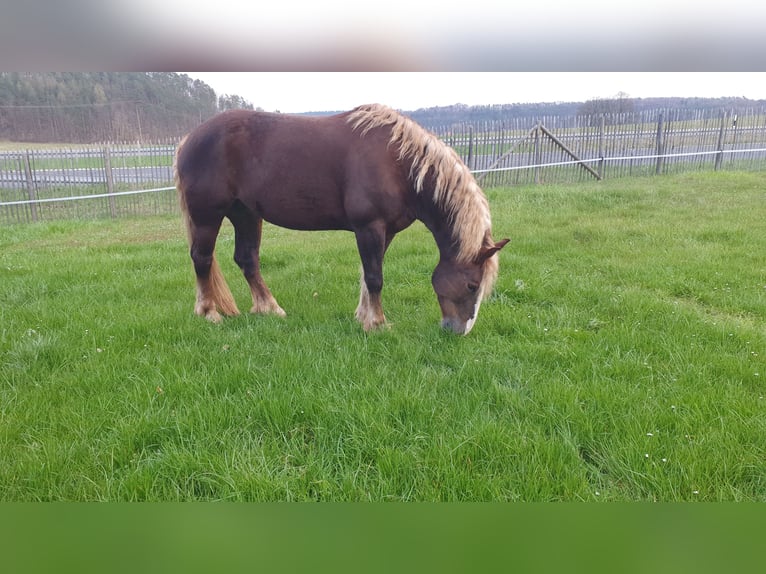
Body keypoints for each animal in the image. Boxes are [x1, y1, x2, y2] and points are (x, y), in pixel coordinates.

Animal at [174, 106, 510, 336]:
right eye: (472, 285)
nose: (458, 330)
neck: (398, 163)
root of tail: (188, 139)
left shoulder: (384, 231)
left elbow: (367, 274)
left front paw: (363, 316)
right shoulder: (369, 227)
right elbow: (375, 277)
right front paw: (377, 323)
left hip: (246, 214)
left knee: (247, 260)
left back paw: (269, 309)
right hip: (208, 216)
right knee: (202, 258)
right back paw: (209, 313)